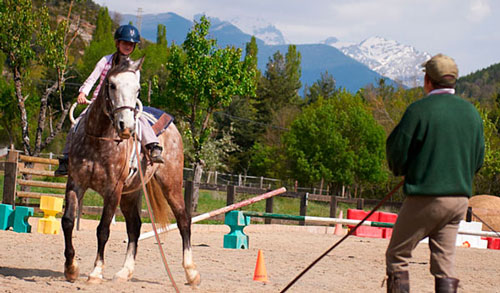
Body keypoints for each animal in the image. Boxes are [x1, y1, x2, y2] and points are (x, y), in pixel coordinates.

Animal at [62, 55, 201, 286]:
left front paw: (96, 272)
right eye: (111, 85)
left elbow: (103, 229)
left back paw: (191, 272)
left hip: (170, 185)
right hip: (130, 194)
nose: (125, 126)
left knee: (183, 220)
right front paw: (71, 268)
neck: (99, 140)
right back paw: (124, 272)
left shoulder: (113, 190)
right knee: (135, 226)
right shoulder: (76, 184)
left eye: (137, 89)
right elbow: (68, 222)